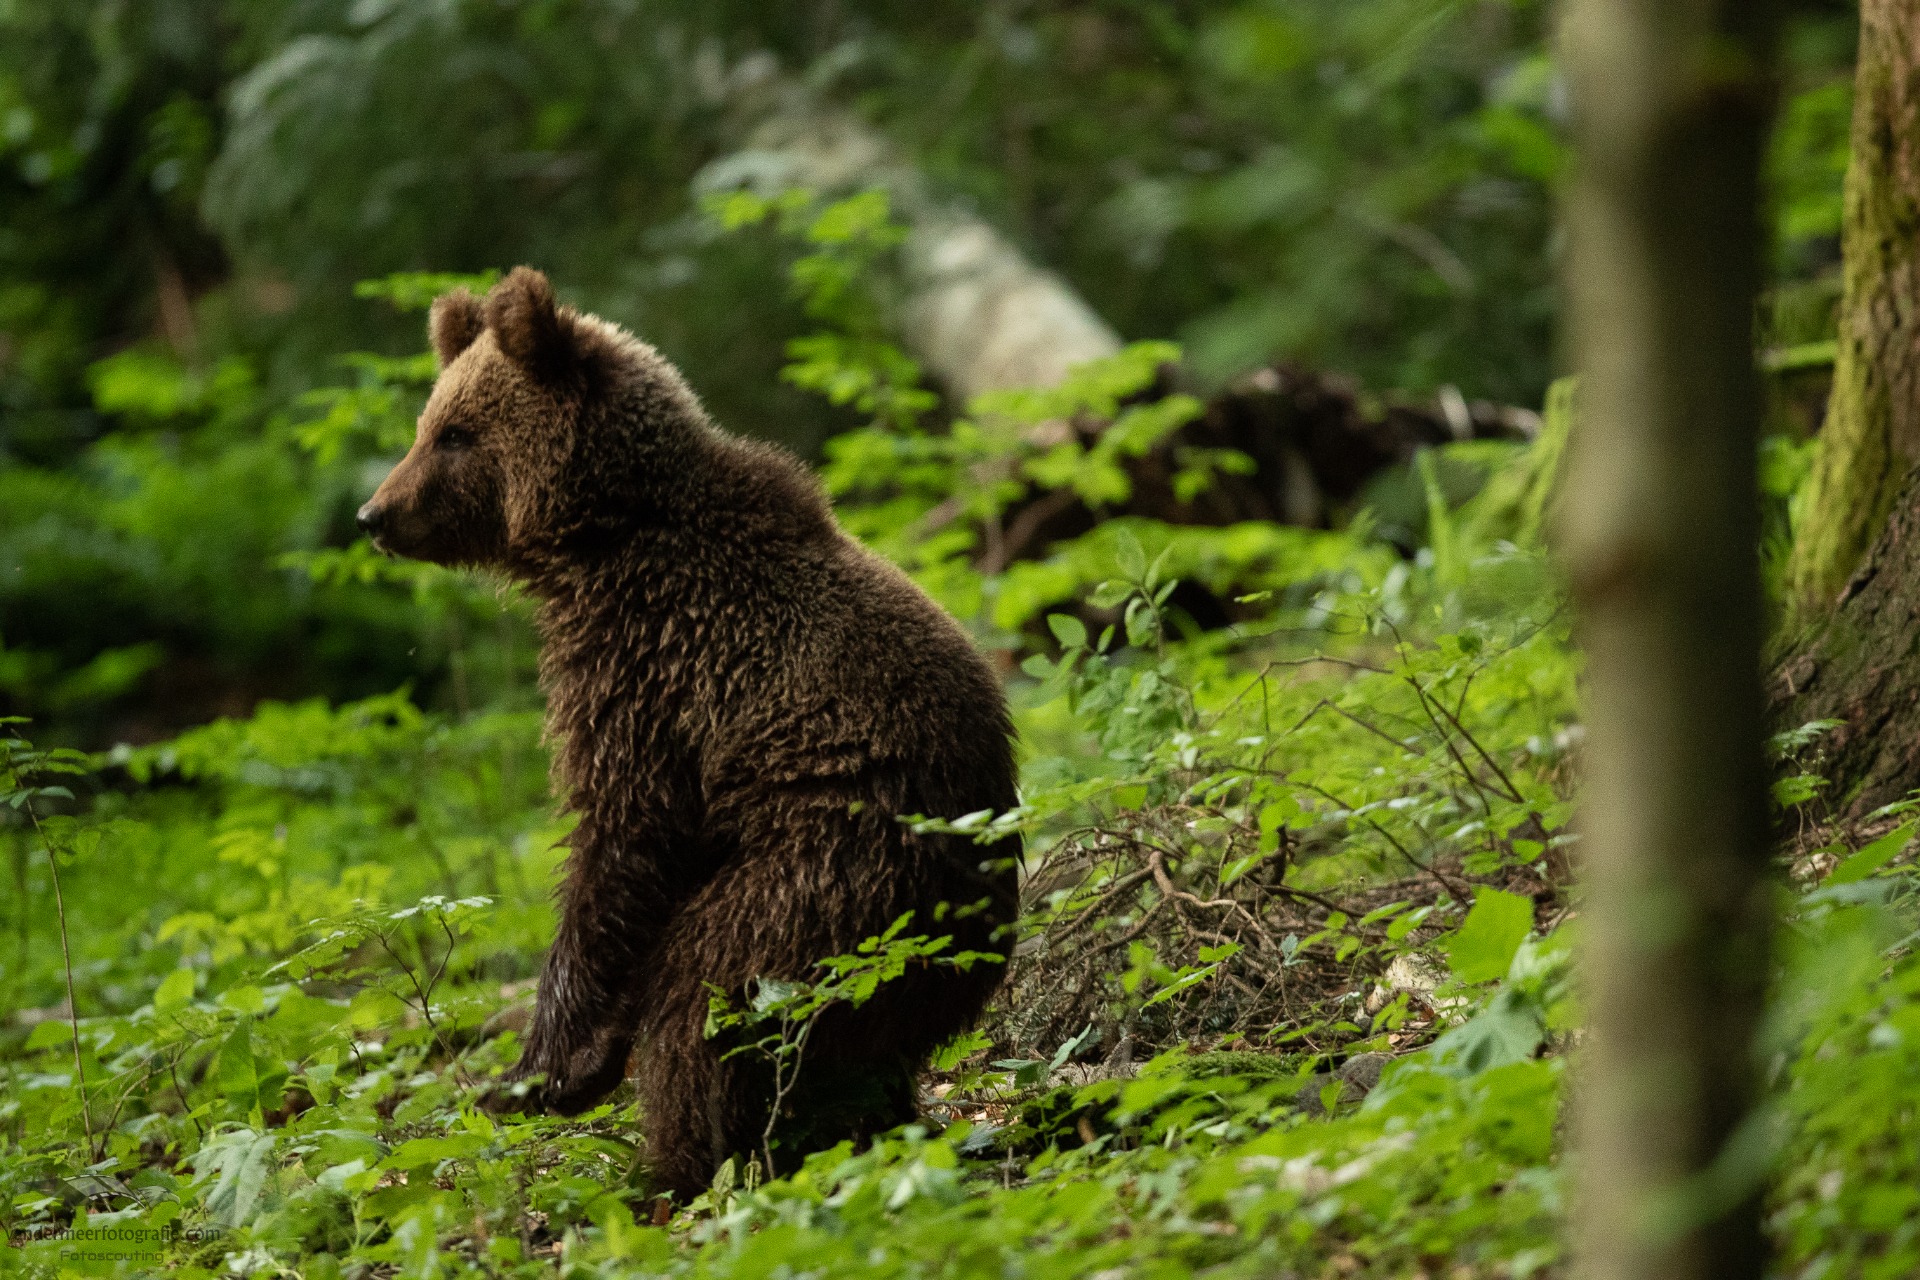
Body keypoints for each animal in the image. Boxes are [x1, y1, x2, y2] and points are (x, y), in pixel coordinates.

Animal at [357, 264, 1021, 1197]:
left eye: (454, 432)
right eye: (427, 424)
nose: (374, 514)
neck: (601, 535)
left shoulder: (652, 663)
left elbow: (623, 837)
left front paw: (537, 1073)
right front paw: (568, 1069)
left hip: (831, 877)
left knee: (705, 996)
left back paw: (673, 1168)